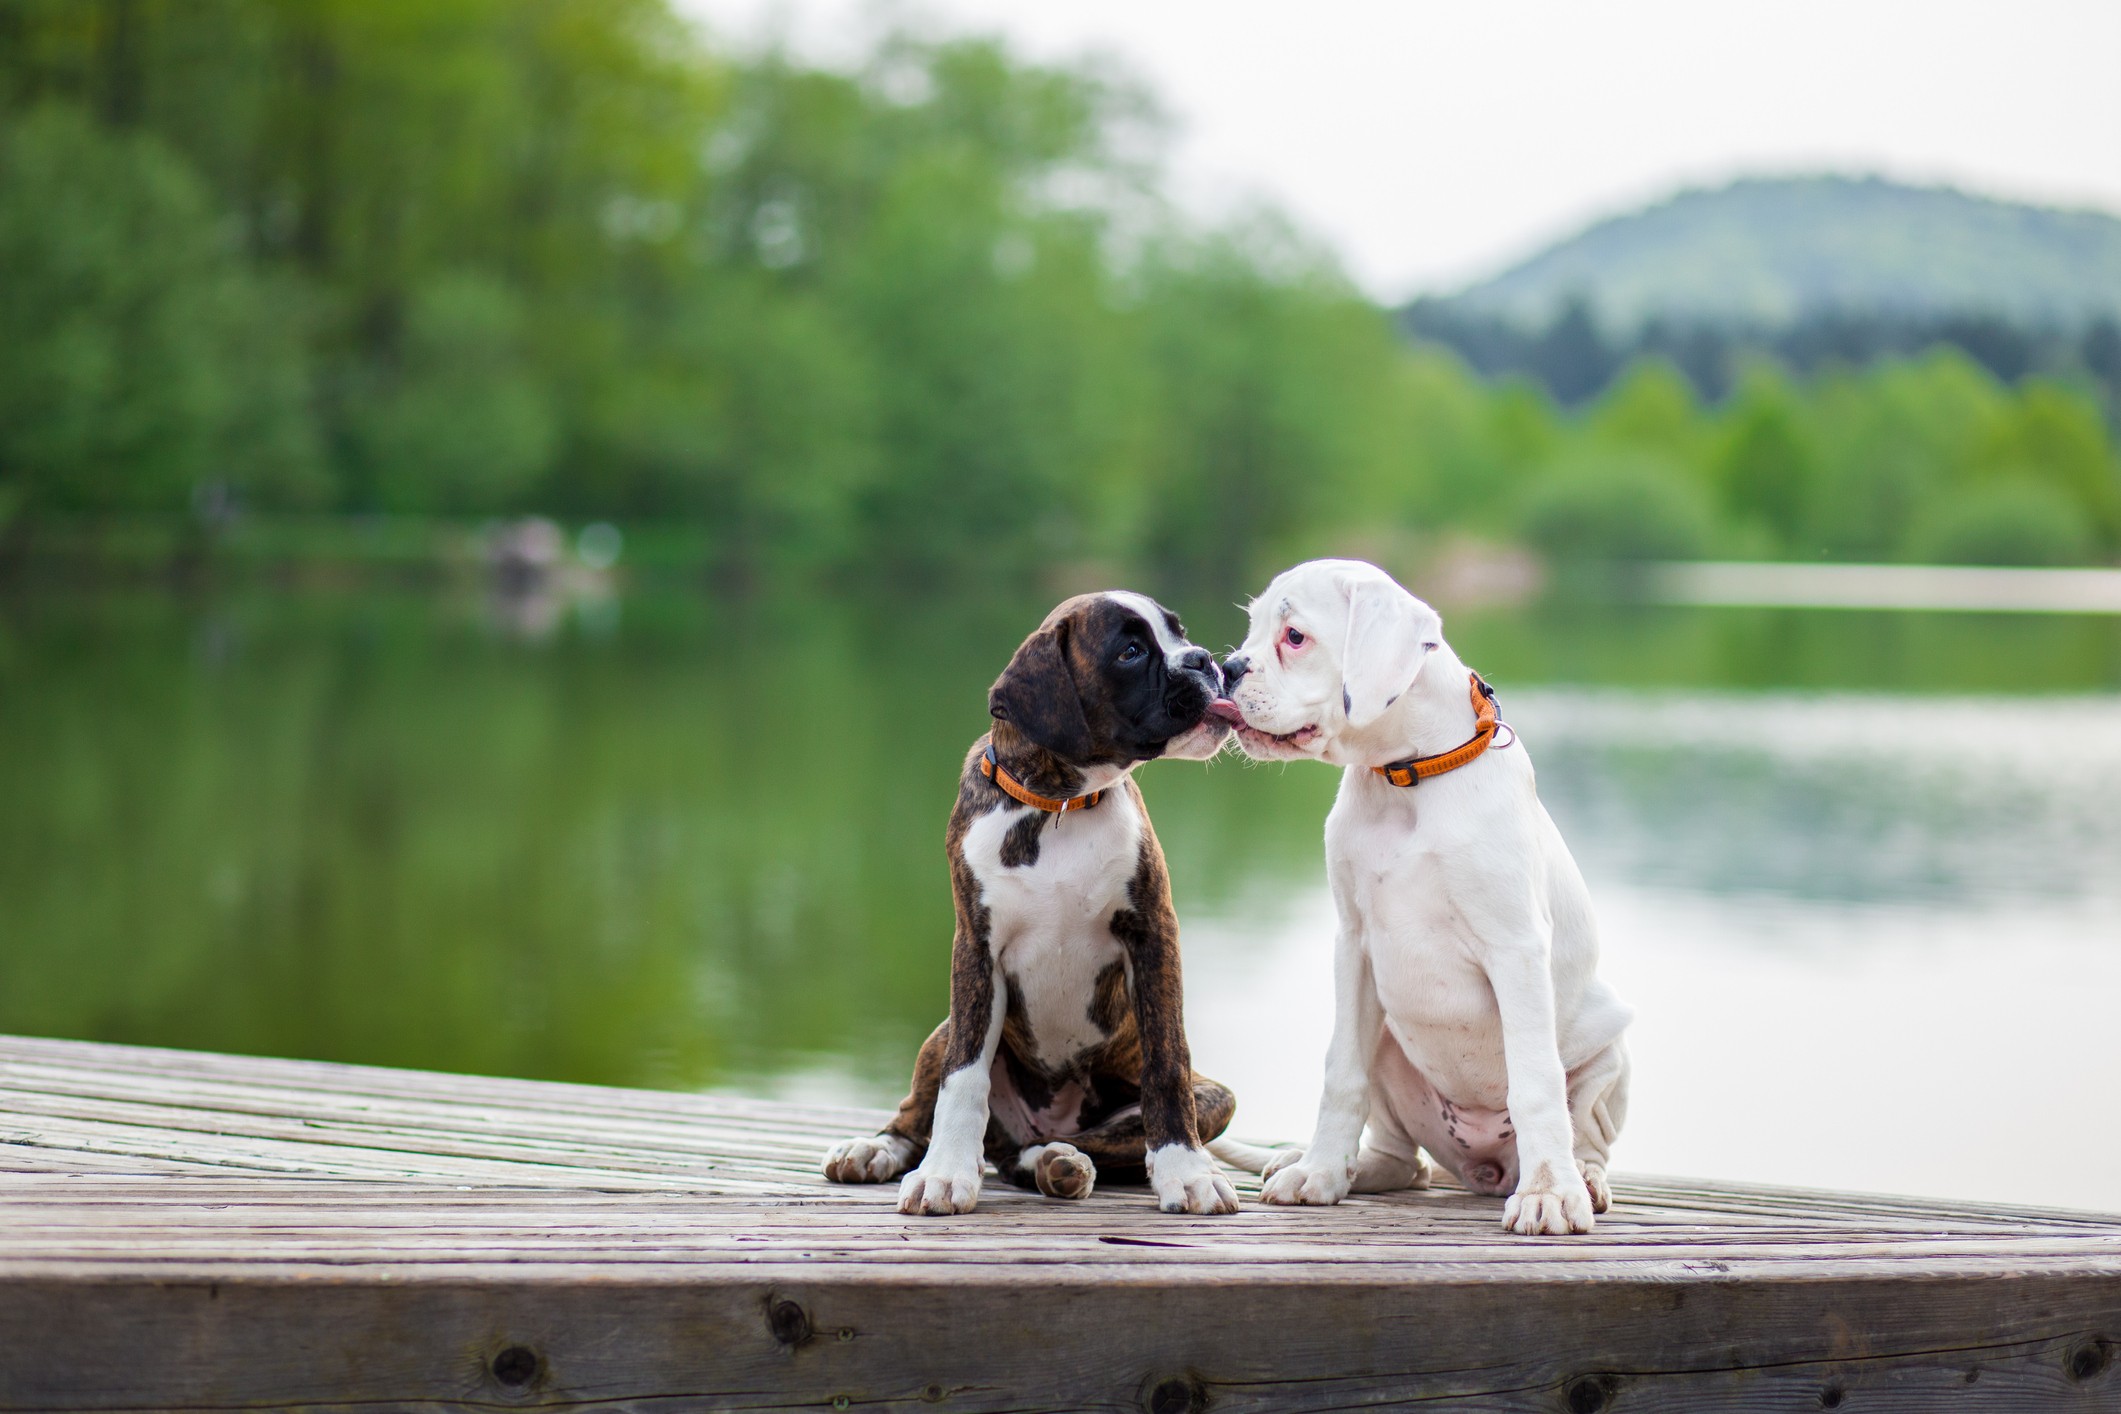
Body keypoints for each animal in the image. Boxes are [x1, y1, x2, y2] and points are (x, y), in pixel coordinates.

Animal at [814, 593, 1238, 1212]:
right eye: (1131, 652)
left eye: (1179, 633)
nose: (1208, 661)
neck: (1061, 802)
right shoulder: (975, 950)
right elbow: (963, 1077)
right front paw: (946, 1173)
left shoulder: (1153, 936)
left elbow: (1168, 1064)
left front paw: (1187, 1173)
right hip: (941, 1030)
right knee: (920, 1114)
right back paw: (876, 1150)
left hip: (1214, 1098)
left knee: (1073, 1144)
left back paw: (1059, 1162)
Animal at [1213, 559, 1620, 1229]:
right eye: (1251, 629)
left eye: (1294, 637)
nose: (1225, 668)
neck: (1407, 777)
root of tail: (1481, 1167)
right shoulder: (1354, 946)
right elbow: (1340, 1072)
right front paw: (1319, 1173)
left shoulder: (1516, 949)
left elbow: (1535, 1083)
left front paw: (1548, 1195)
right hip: (1388, 1043)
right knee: (1404, 1160)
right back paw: (1341, 1167)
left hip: (1610, 1049)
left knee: (1584, 1130)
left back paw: (1579, 1178)